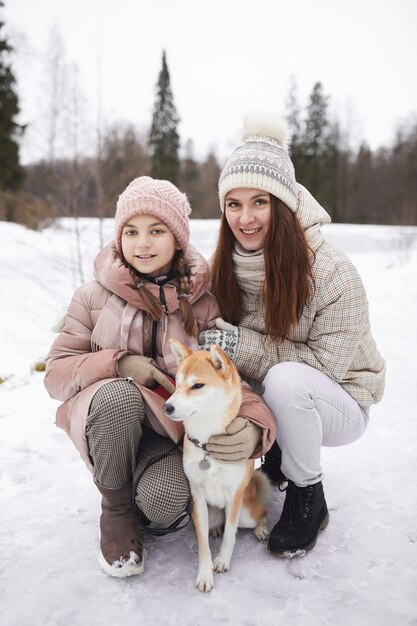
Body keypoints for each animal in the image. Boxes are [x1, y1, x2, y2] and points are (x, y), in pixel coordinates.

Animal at [162, 338, 270, 592]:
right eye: (177, 384)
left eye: (198, 385)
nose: (167, 407)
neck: (207, 444)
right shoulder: (197, 497)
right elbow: (202, 544)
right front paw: (205, 573)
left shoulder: (234, 495)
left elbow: (231, 534)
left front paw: (222, 560)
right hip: (211, 513)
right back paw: (215, 528)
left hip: (246, 512)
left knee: (263, 512)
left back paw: (261, 528)